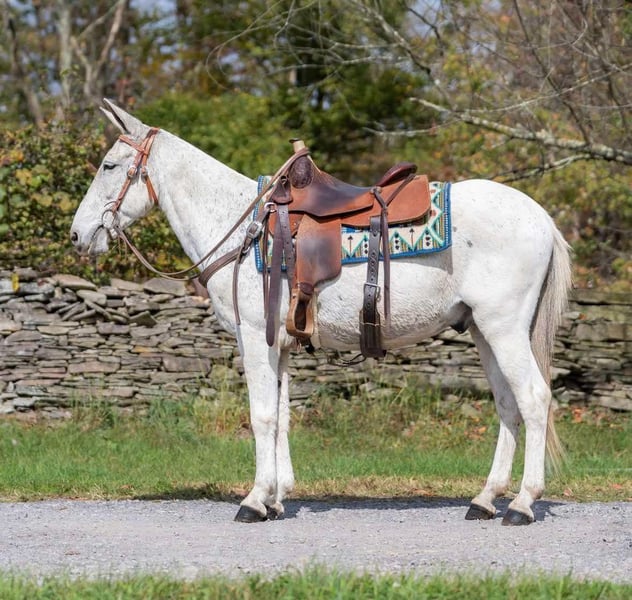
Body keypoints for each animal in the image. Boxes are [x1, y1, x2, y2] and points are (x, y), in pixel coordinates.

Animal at [70, 100, 571, 526]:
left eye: (109, 166)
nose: (78, 235)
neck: (243, 227)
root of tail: (541, 218)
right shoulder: (278, 343)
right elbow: (281, 414)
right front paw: (276, 498)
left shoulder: (255, 338)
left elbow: (261, 415)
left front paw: (254, 500)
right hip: (485, 332)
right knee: (508, 404)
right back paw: (485, 500)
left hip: (504, 329)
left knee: (533, 398)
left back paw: (522, 504)